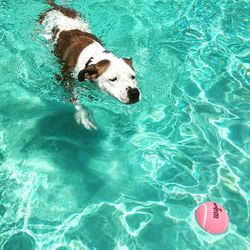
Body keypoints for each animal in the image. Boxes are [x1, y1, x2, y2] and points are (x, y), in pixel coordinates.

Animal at [38, 1, 141, 131]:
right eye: (113, 79)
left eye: (133, 77)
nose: (134, 92)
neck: (94, 57)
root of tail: (57, 8)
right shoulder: (67, 80)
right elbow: (76, 100)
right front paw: (83, 115)